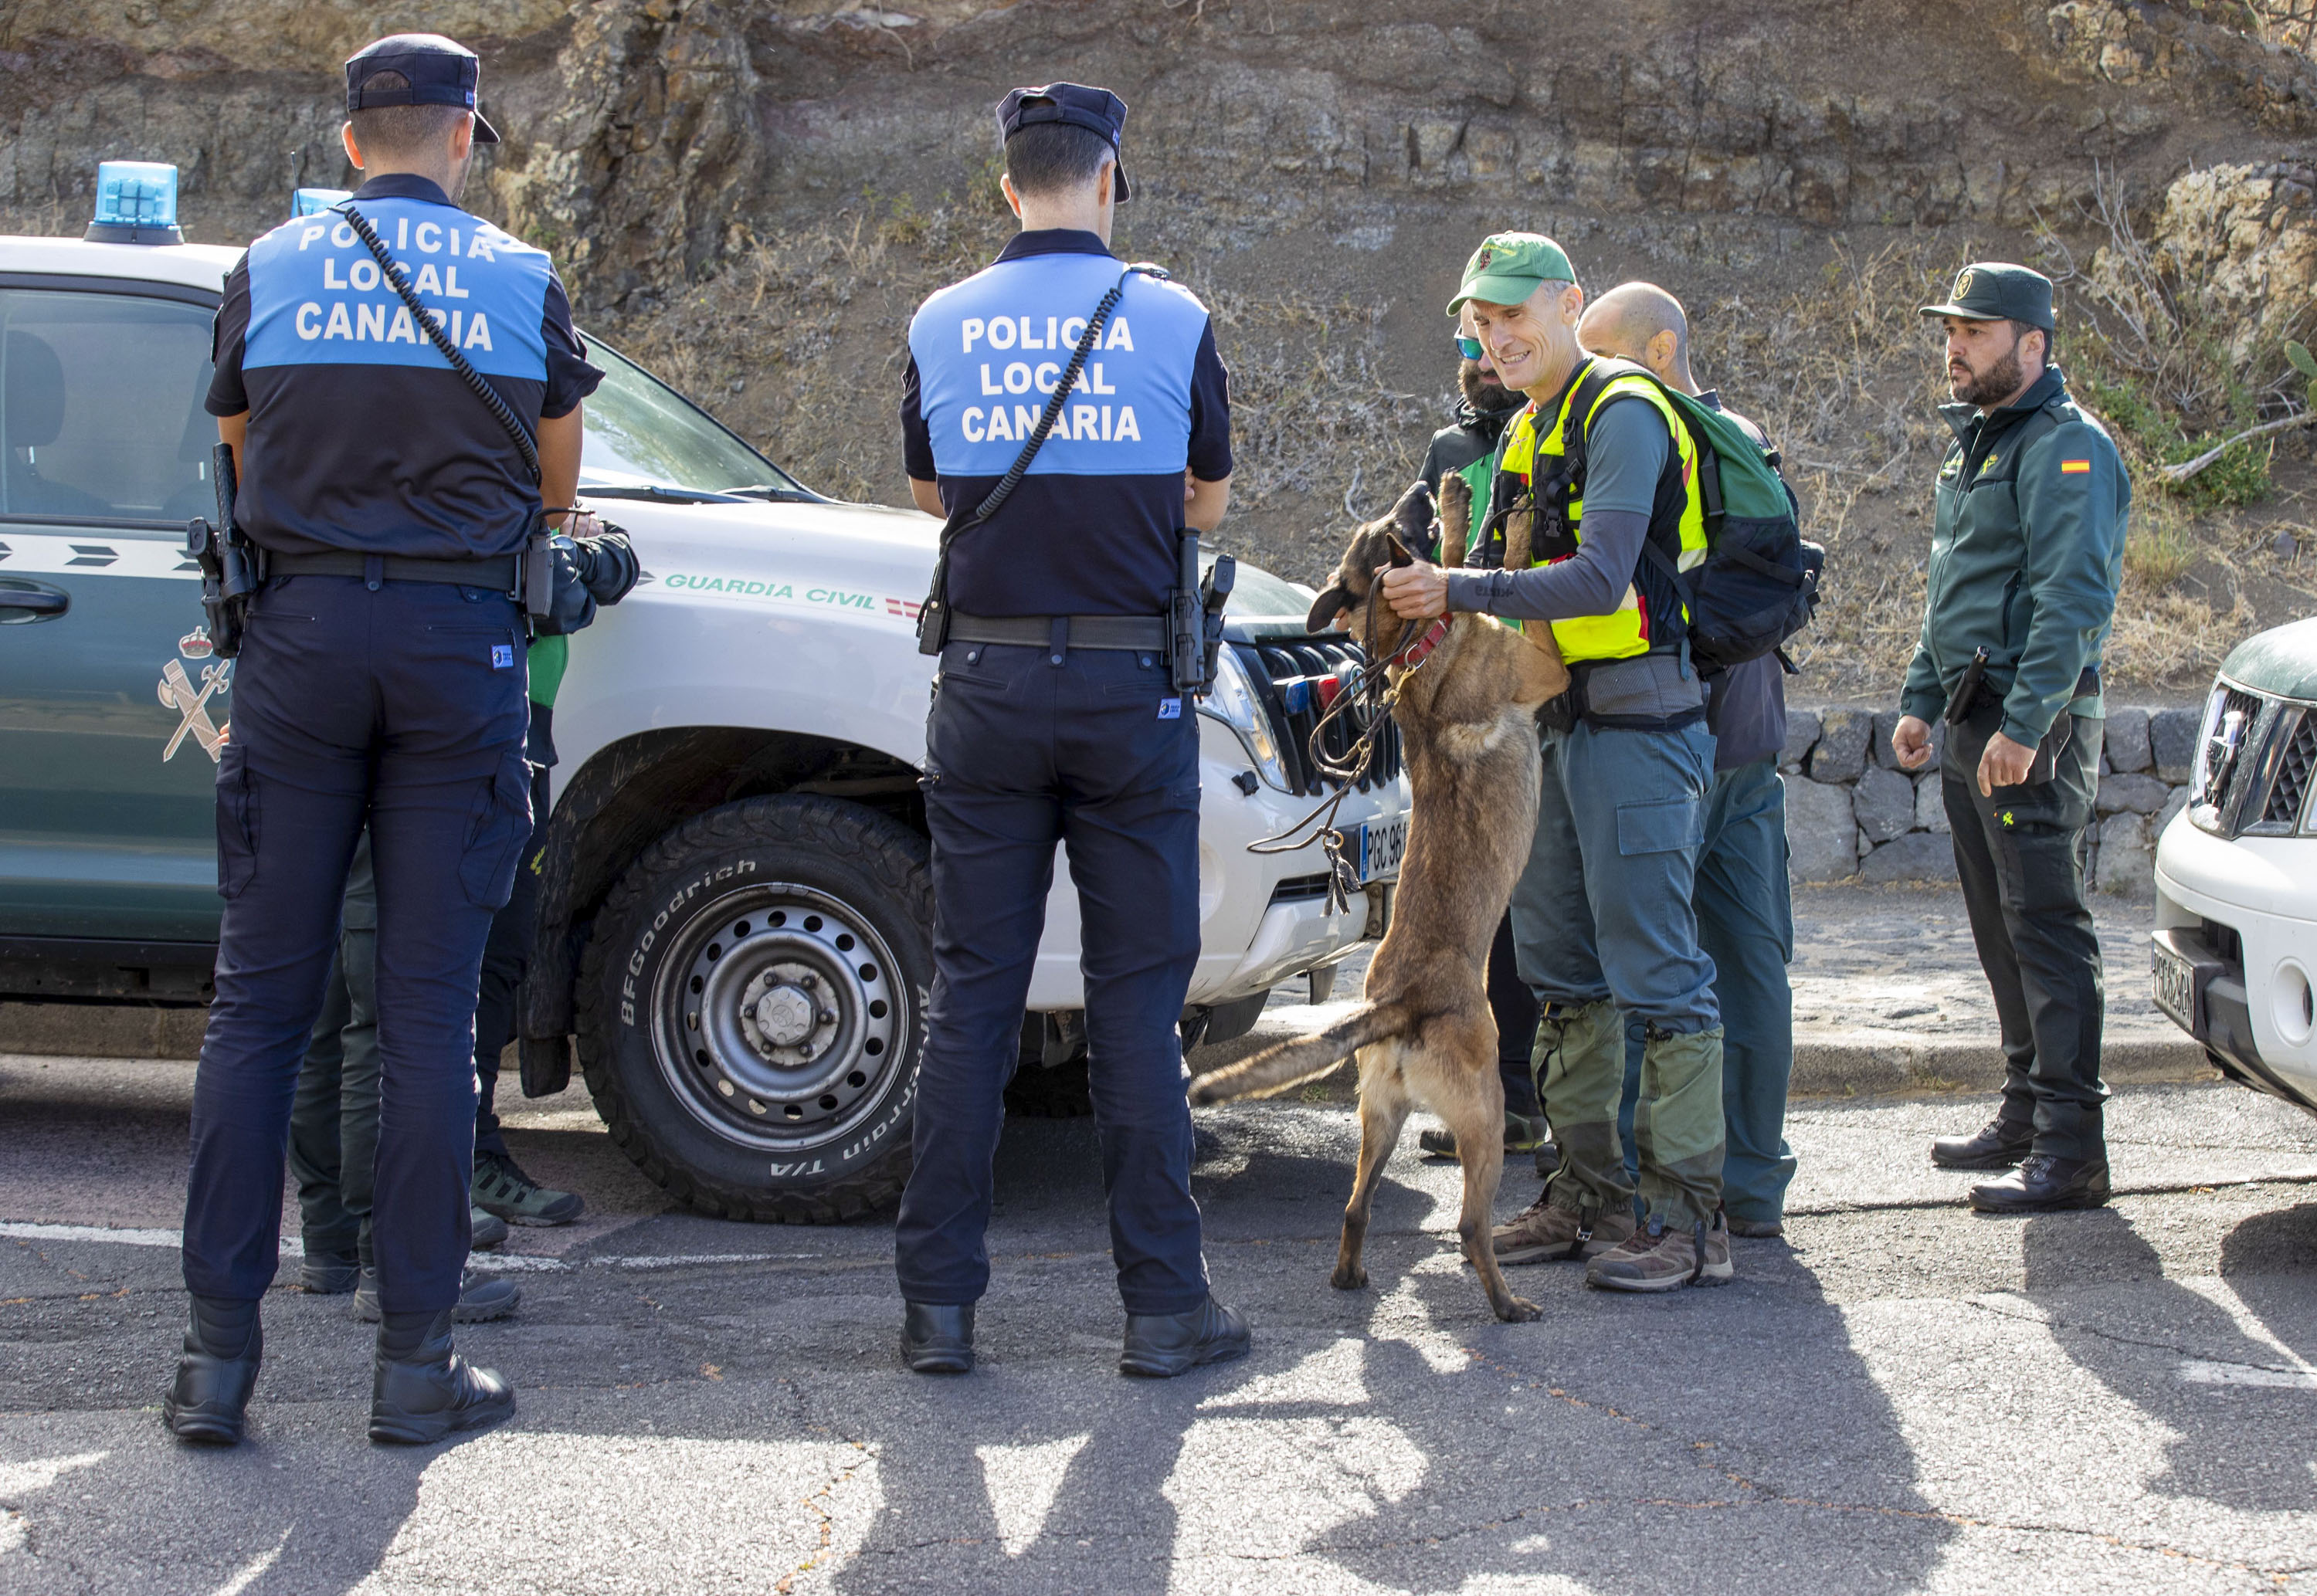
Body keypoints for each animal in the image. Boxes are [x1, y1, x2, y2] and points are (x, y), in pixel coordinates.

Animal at [1186, 473, 1566, 1316]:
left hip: (1379, 1116)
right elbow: (1511, 574)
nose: (1427, 480)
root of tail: (1401, 1004)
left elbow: (1463, 559)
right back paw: (1507, 1304)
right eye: (1394, 526)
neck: (1409, 647)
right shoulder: (1543, 662)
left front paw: (1464, 510)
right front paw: (1514, 521)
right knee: (1469, 1225)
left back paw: (1351, 1274)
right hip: (1482, 1116)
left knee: (1355, 1207)